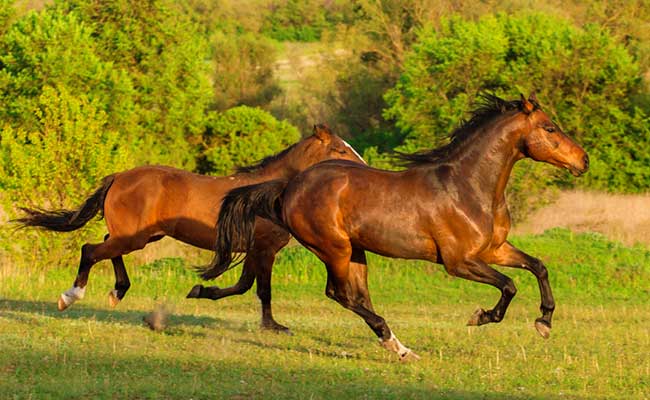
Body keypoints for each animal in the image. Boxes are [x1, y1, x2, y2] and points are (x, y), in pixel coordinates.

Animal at [15, 124, 364, 332]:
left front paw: (200, 291)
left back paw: (118, 292)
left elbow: (243, 286)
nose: (362, 169)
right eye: (340, 149)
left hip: (138, 236)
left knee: (105, 247)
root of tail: (119, 177)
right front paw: (273, 326)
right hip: (134, 238)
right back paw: (70, 297)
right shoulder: (264, 249)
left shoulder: (254, 251)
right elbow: (261, 289)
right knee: (90, 250)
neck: (266, 192)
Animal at [204, 94, 588, 360]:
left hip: (356, 252)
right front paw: (480, 317)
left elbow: (538, 267)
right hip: (334, 249)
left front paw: (544, 323)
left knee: (357, 296)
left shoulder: (494, 249)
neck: (467, 187)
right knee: (340, 294)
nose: (583, 161)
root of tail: (289, 187)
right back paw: (396, 345)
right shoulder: (459, 262)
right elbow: (509, 285)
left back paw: (399, 347)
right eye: (550, 128)